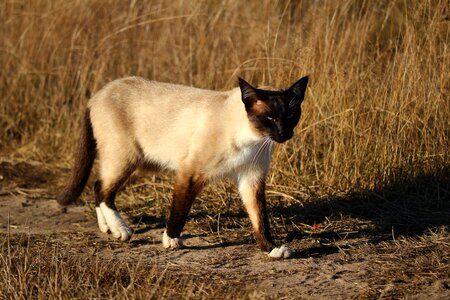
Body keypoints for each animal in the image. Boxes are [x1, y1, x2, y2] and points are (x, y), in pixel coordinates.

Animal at [57, 75, 310, 258]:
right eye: (269, 118)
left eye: (290, 115)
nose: (284, 133)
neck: (253, 139)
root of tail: (98, 94)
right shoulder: (190, 173)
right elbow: (180, 210)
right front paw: (171, 240)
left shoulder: (251, 179)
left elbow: (260, 219)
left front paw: (272, 249)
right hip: (125, 158)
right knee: (103, 190)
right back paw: (122, 231)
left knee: (97, 186)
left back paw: (108, 228)